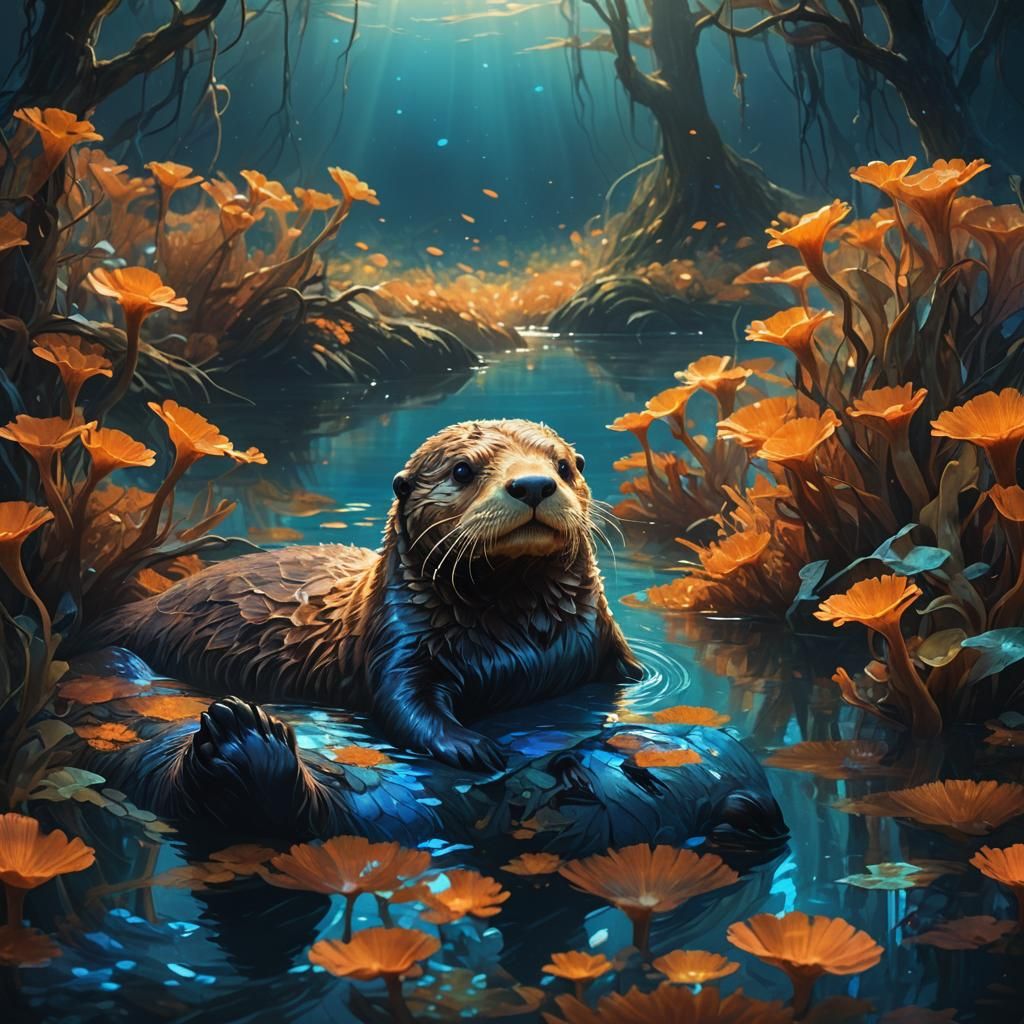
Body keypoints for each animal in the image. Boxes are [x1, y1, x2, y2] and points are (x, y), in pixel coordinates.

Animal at [103, 419, 642, 773]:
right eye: (462, 471)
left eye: (564, 465)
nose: (533, 484)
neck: (523, 642)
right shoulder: (397, 645)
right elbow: (401, 705)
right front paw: (471, 745)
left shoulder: (605, 638)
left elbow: (633, 679)